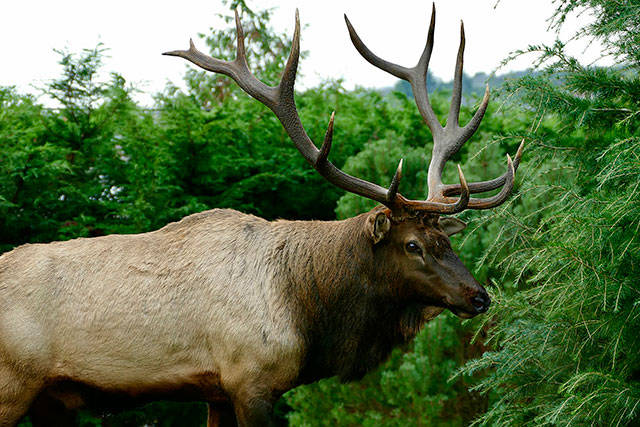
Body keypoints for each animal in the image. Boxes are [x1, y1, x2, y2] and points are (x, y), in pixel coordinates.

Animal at [0, 5, 523, 426]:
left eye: (447, 242)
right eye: (412, 244)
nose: (478, 297)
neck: (308, 311)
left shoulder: (215, 390)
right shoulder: (250, 378)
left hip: (50, 399)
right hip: (13, 384)